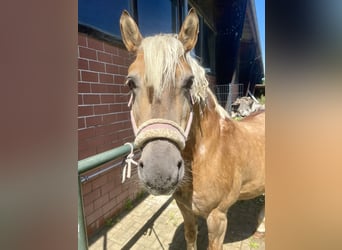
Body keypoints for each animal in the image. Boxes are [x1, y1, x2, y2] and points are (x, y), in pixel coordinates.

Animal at [119, 8, 266, 249]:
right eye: (130, 83)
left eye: (189, 82)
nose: (159, 173)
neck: (208, 153)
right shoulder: (185, 209)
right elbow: (190, 236)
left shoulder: (217, 218)